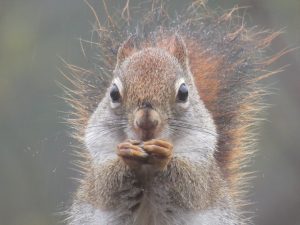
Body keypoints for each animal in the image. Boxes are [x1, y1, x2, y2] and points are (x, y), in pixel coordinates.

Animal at [62, 0, 284, 224]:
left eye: (184, 92)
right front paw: (127, 153)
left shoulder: (201, 163)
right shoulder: (99, 157)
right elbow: (105, 187)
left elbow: (190, 187)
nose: (146, 122)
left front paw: (164, 155)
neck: (147, 166)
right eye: (114, 93)